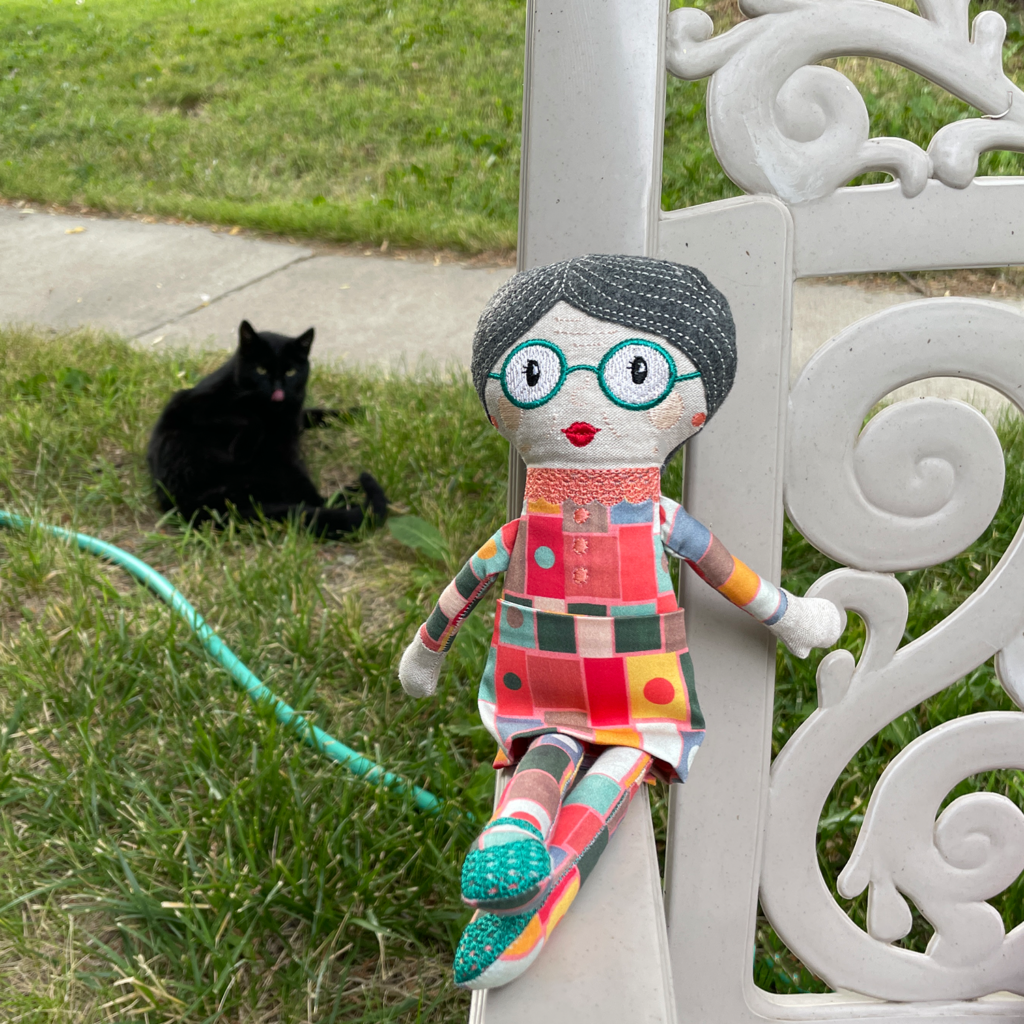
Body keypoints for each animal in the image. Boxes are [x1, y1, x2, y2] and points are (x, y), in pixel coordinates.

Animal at [144, 319, 385, 536]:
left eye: (290, 372)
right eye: (260, 370)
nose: (277, 390)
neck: (275, 411)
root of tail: (189, 507)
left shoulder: (294, 413)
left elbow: (316, 412)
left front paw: (359, 412)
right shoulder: (194, 405)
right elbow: (251, 419)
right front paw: (242, 447)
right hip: (278, 466)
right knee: (315, 502)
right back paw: (354, 491)